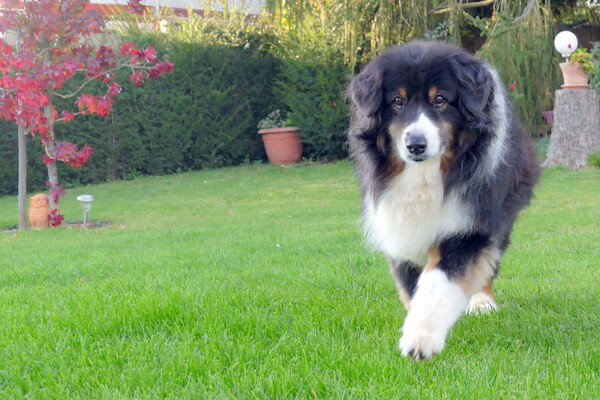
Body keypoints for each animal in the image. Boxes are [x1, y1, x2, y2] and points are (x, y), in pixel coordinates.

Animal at [346, 42, 540, 360]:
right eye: (397, 101)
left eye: (440, 100)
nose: (416, 145)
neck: (426, 174)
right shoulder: (398, 226)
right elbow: (412, 286)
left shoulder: (468, 225)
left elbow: (439, 281)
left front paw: (421, 339)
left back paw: (482, 301)